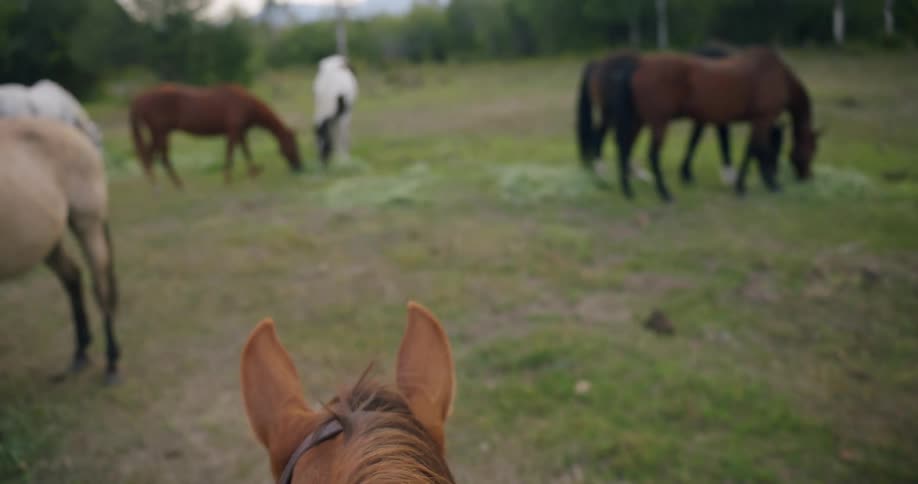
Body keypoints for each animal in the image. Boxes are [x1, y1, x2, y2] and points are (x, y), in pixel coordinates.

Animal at [0, 118, 120, 384]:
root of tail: (79, 133)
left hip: (88, 225)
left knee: (100, 288)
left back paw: (112, 363)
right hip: (47, 239)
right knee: (72, 277)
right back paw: (80, 353)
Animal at [130, 83, 303, 188]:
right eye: (294, 146)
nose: (299, 167)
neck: (245, 104)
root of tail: (140, 98)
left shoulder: (240, 132)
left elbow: (245, 151)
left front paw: (253, 172)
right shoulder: (234, 131)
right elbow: (231, 153)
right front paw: (228, 179)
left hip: (159, 133)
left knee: (151, 156)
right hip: (160, 132)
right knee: (157, 157)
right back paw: (167, 186)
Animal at [578, 47, 818, 201]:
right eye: (811, 149)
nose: (807, 176)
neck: (776, 74)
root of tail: (639, 64)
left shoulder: (750, 121)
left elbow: (746, 150)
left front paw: (742, 184)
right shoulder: (763, 119)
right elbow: (757, 150)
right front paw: (769, 184)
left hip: (638, 120)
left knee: (624, 147)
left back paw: (627, 190)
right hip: (656, 123)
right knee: (650, 154)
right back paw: (664, 193)